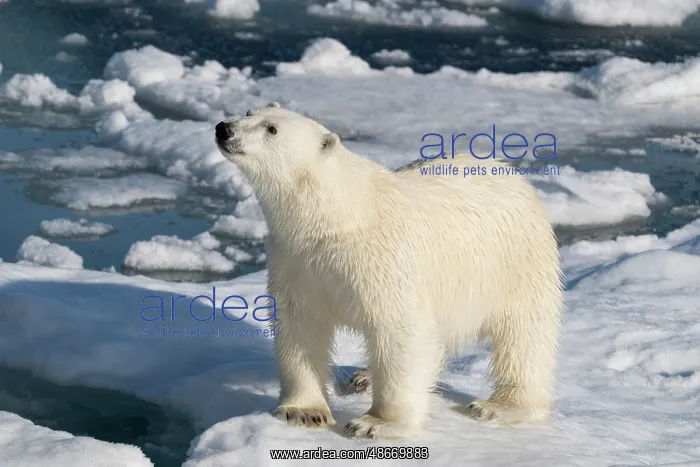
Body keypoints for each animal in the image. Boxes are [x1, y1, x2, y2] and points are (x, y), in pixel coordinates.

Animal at [214, 102, 564, 439]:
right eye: (248, 112)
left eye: (271, 129)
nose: (223, 128)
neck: (336, 216)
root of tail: (512, 172)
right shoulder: (296, 259)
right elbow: (301, 326)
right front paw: (304, 412)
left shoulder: (383, 260)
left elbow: (399, 331)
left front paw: (374, 424)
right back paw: (364, 377)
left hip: (515, 263)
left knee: (523, 335)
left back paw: (500, 406)